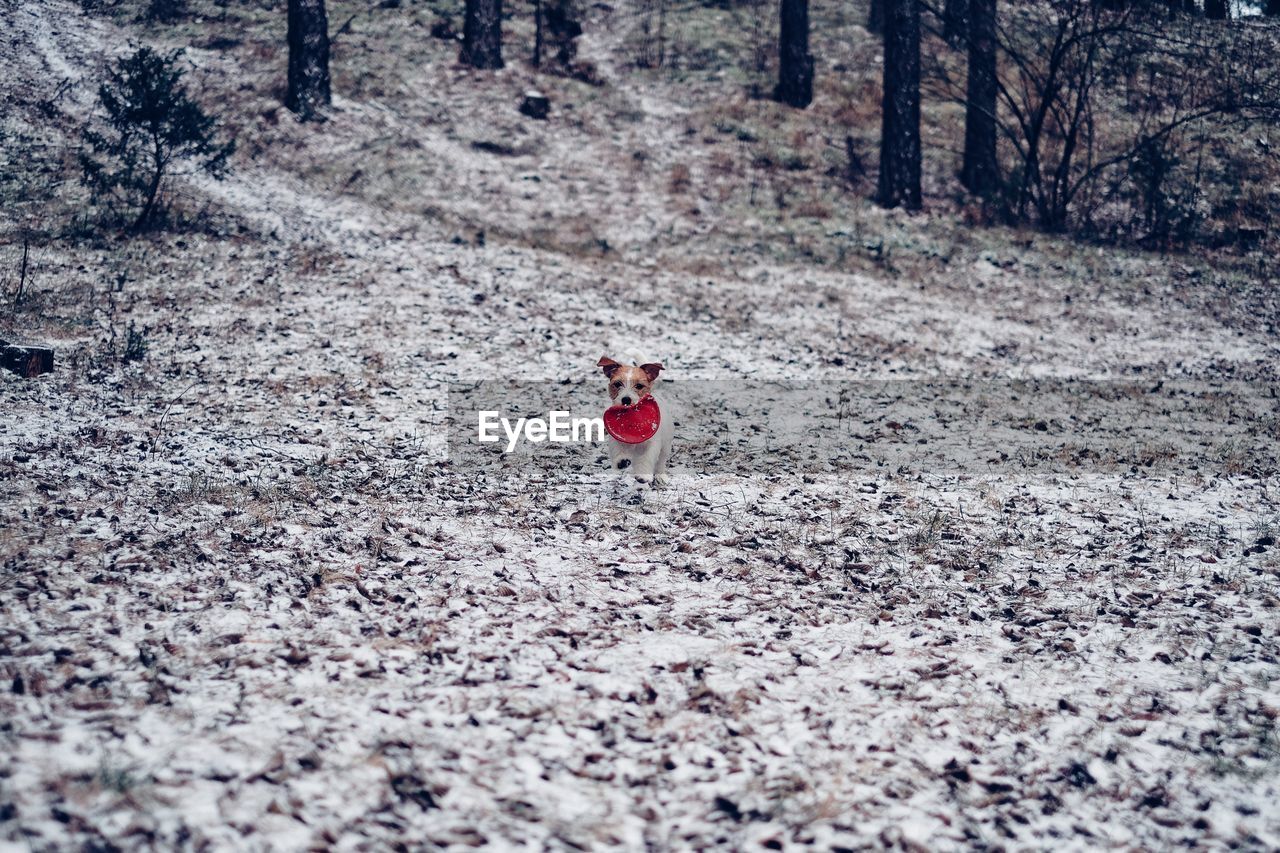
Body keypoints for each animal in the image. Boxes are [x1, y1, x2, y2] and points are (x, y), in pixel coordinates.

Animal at [601, 353, 680, 484]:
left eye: (639, 386)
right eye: (617, 384)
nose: (626, 399)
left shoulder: (652, 444)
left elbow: (646, 458)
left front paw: (644, 476)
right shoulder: (616, 438)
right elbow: (618, 449)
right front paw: (621, 461)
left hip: (666, 445)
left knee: (661, 461)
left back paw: (660, 475)